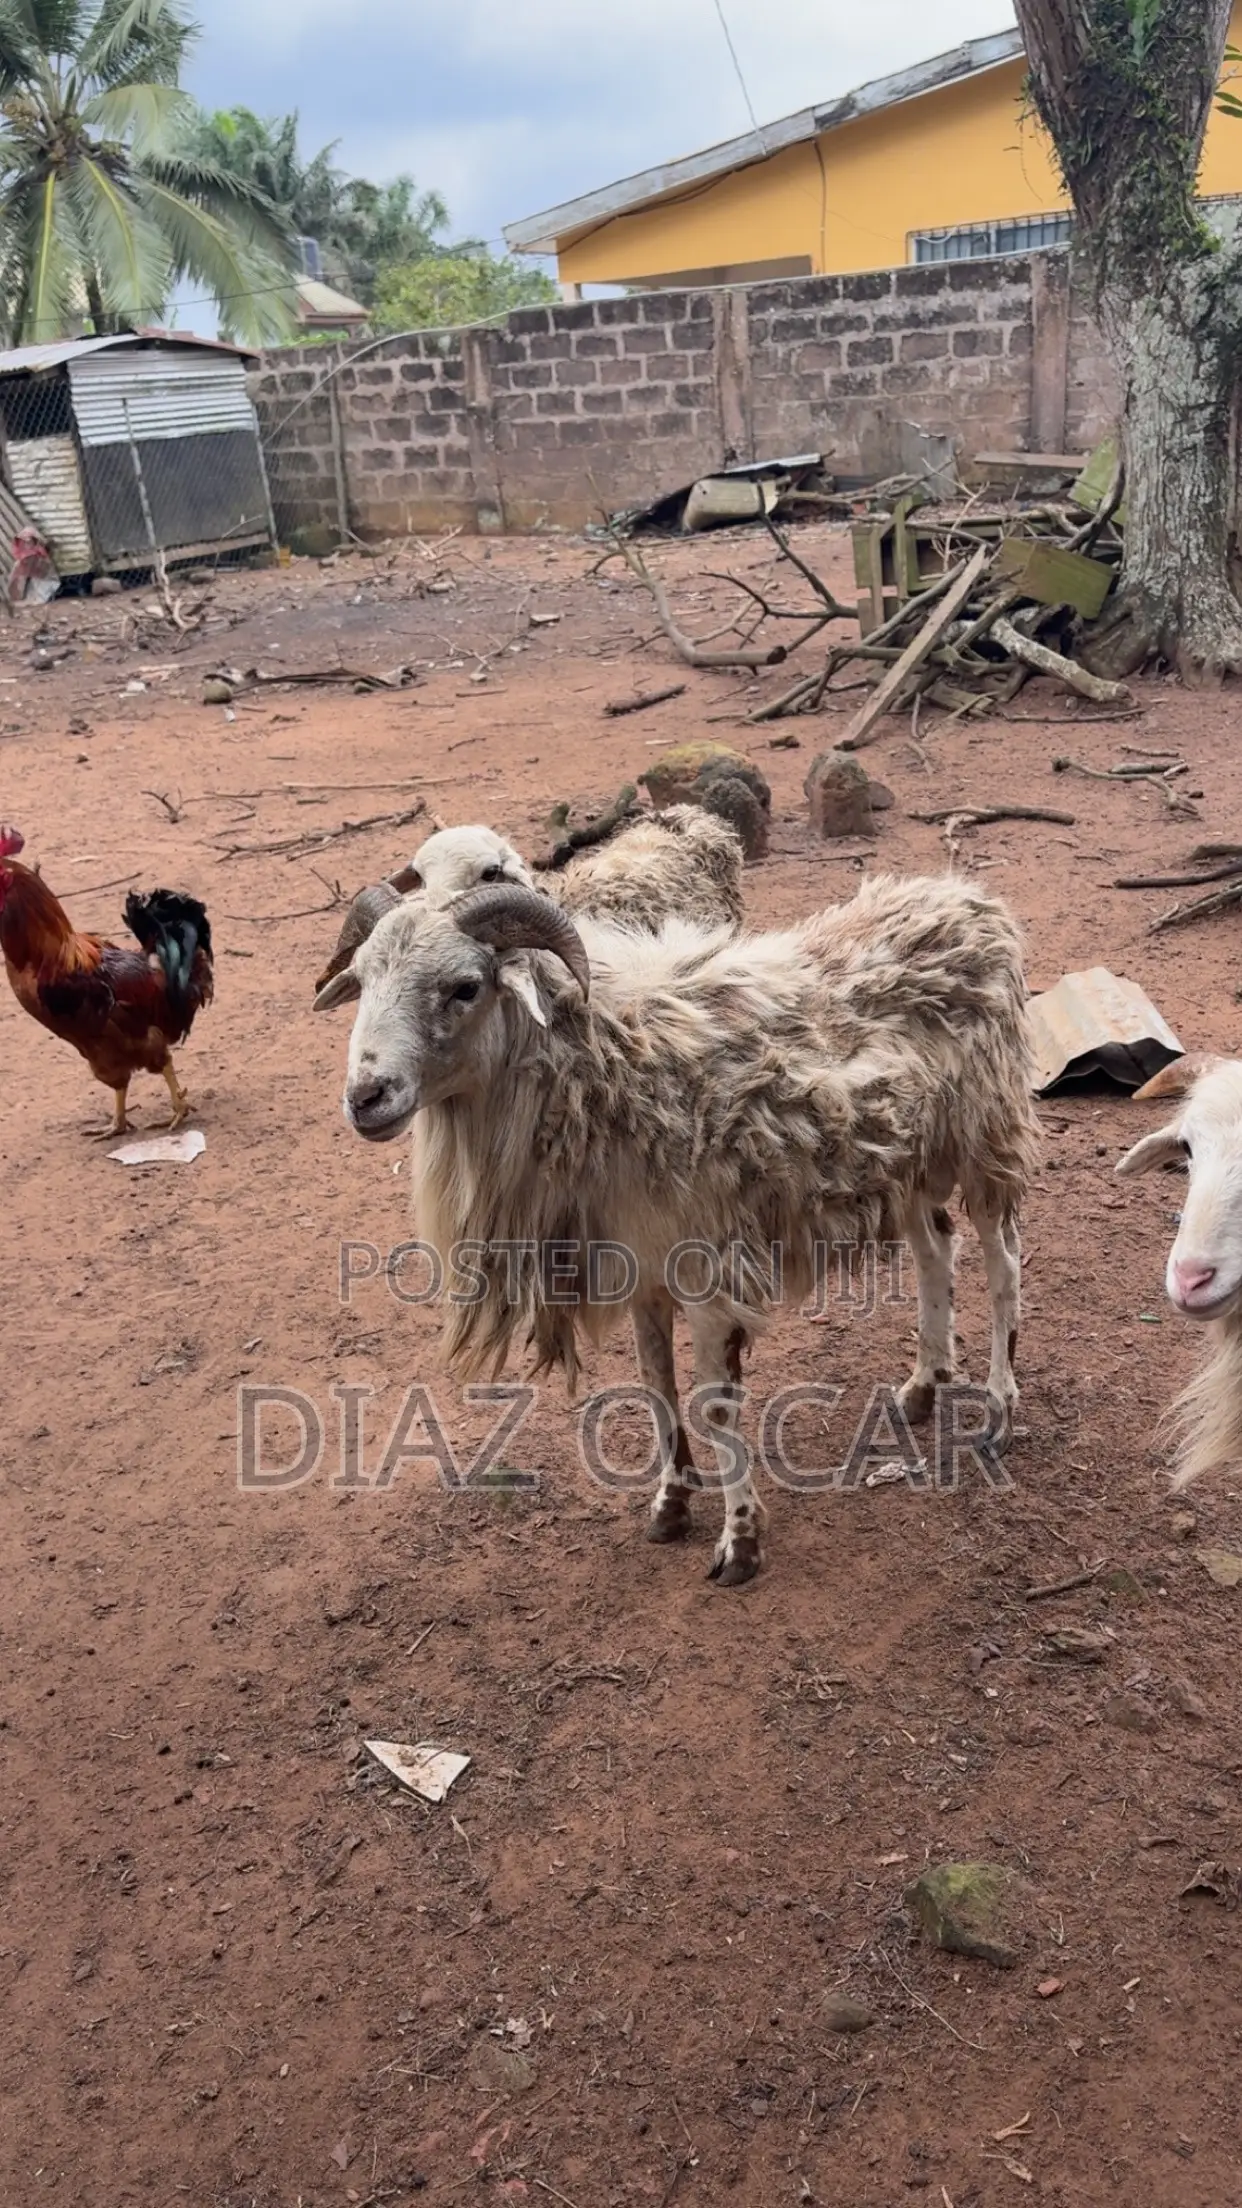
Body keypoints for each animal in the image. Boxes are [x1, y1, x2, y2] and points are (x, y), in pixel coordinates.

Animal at [317, 872, 1038, 1585]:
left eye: (465, 987)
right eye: (362, 977)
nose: (366, 1097)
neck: (603, 1072)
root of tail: (968, 898)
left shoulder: (709, 1275)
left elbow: (713, 1404)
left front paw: (740, 1542)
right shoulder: (642, 1269)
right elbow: (655, 1385)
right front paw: (670, 1504)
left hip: (987, 1132)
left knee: (1002, 1260)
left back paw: (998, 1411)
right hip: (910, 1162)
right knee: (935, 1247)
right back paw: (922, 1386)